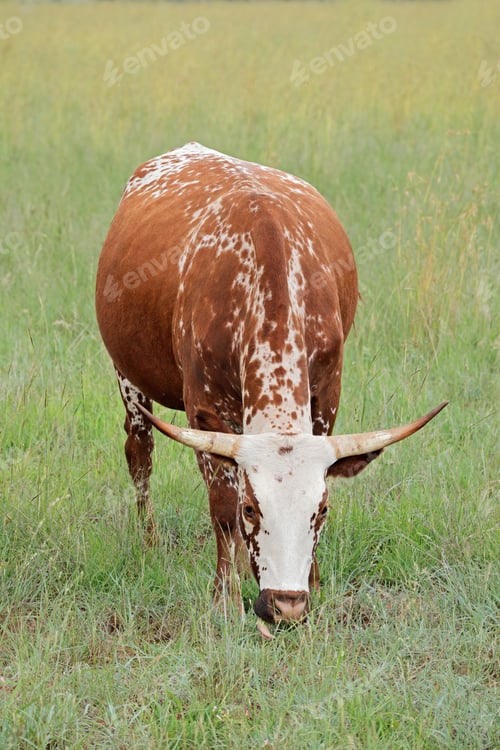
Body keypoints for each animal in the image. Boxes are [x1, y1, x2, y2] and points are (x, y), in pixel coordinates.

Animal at [96, 142, 446, 634]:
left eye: (321, 510)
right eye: (252, 509)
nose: (287, 606)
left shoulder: (327, 396)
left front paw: (312, 581)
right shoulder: (204, 407)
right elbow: (220, 504)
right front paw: (226, 600)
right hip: (128, 376)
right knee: (139, 453)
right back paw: (150, 544)